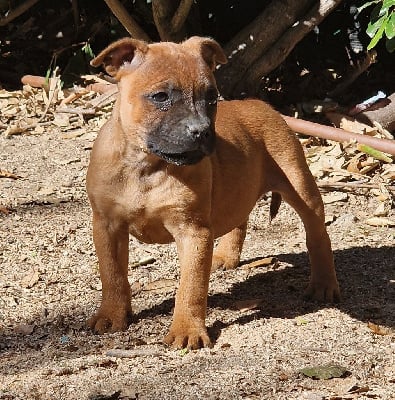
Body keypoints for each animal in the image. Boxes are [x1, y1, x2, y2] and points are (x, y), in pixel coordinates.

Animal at [86, 37, 340, 350]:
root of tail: (260, 104)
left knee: (317, 234)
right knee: (239, 218)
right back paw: (226, 256)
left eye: (211, 97)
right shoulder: (107, 225)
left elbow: (191, 286)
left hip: (300, 186)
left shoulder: (193, 232)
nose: (203, 131)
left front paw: (187, 329)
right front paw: (111, 315)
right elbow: (112, 274)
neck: (145, 166)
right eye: (160, 96)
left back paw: (323, 284)